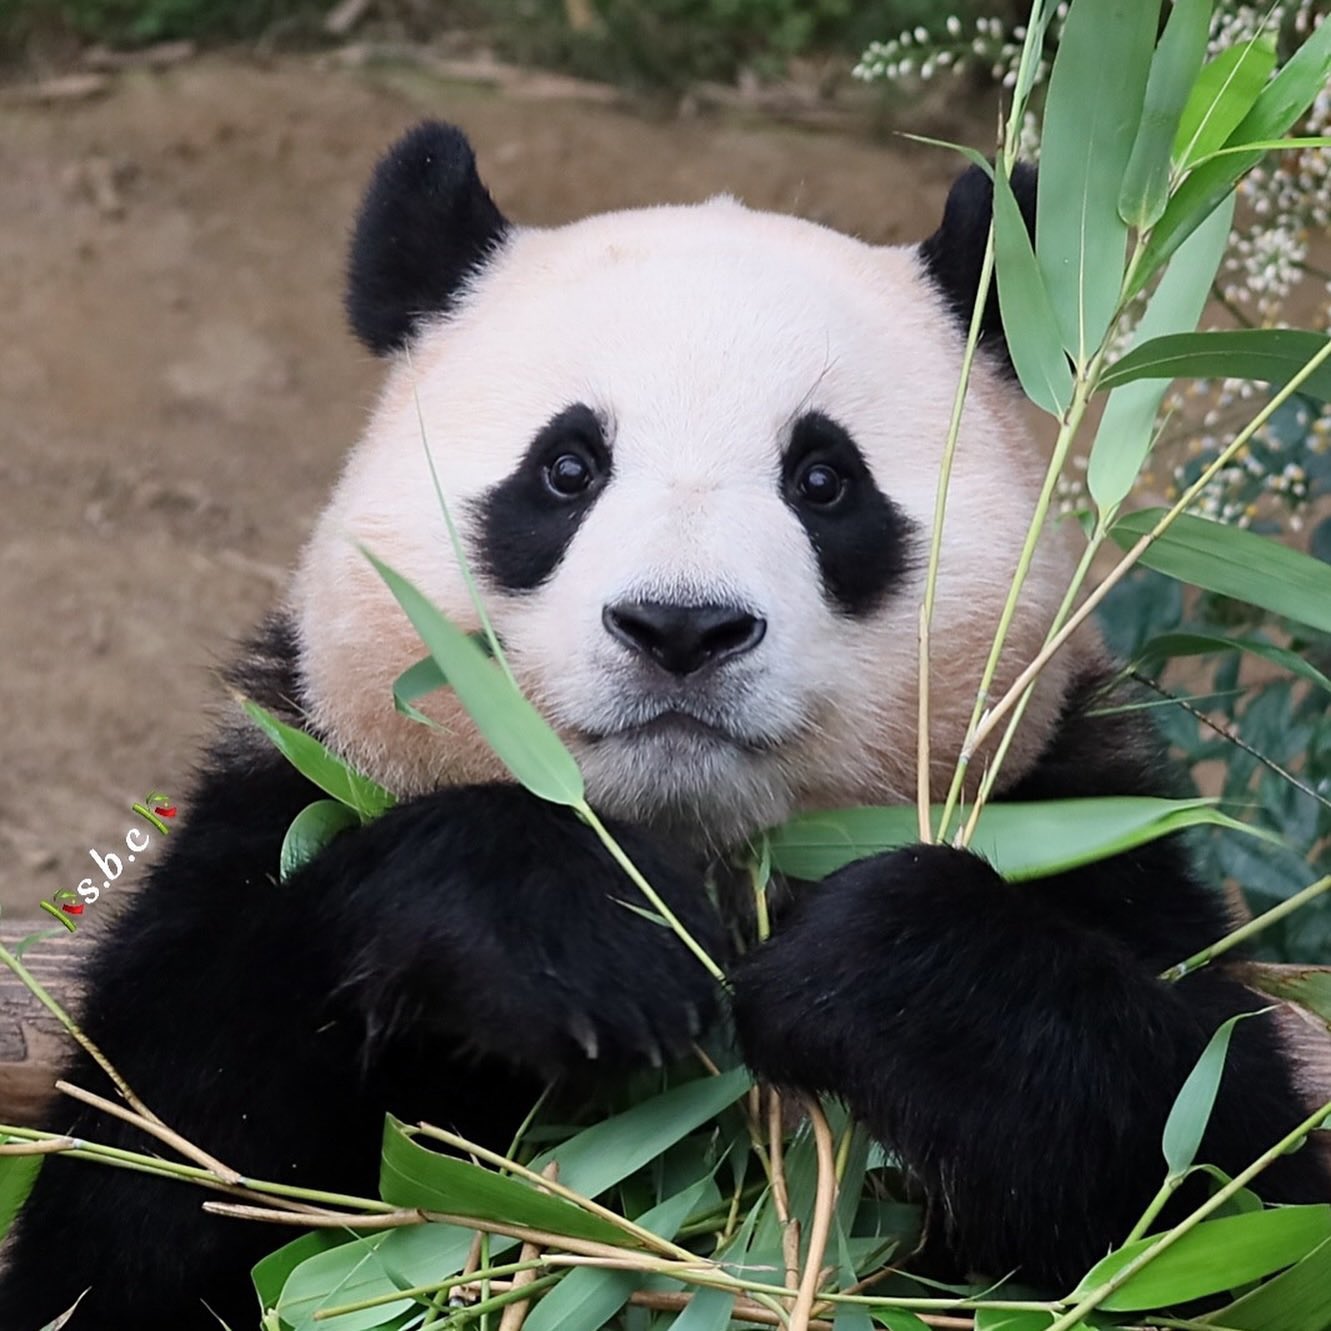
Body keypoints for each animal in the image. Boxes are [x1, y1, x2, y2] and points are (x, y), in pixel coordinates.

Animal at [0, 119, 1320, 1325]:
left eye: (823, 480)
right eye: (566, 468)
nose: (680, 627)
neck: (708, 849)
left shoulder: (1082, 819)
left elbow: (1212, 1180)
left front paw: (877, 967)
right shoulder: (293, 795)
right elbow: (162, 1187)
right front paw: (579, 930)